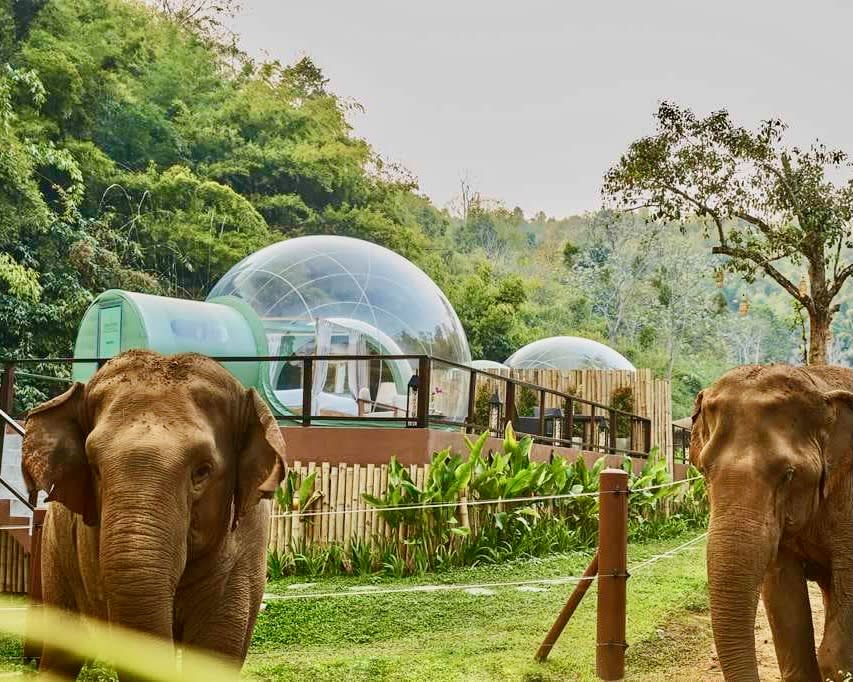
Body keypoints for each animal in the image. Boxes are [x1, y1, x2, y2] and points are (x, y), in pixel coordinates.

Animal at [21, 349, 286, 679]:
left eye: (202, 471)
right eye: (95, 468)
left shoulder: (246, 546)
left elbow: (215, 651)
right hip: (54, 552)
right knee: (62, 649)